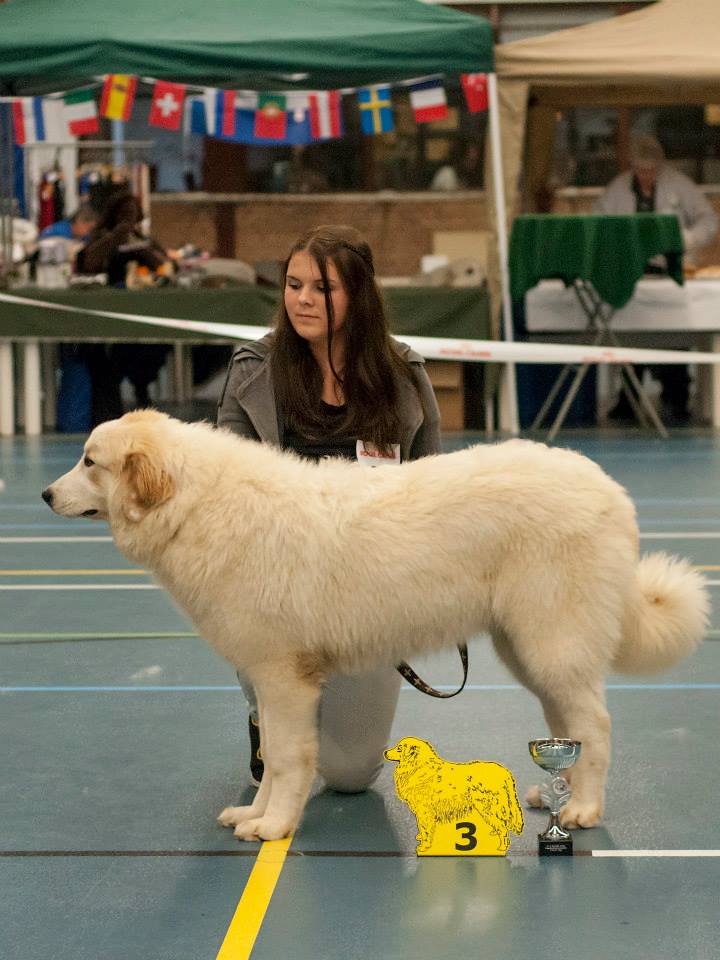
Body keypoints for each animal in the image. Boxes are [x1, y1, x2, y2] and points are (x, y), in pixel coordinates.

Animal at [43, 410, 708, 840]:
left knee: (595, 726)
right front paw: (256, 816)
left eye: (89, 461)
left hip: (553, 642)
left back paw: (582, 811)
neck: (199, 504)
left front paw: (273, 826)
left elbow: (287, 758)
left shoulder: (284, 678)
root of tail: (610, 490)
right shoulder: (270, 680)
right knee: (566, 723)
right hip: (531, 651)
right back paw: (552, 792)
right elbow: (275, 755)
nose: (48, 494)